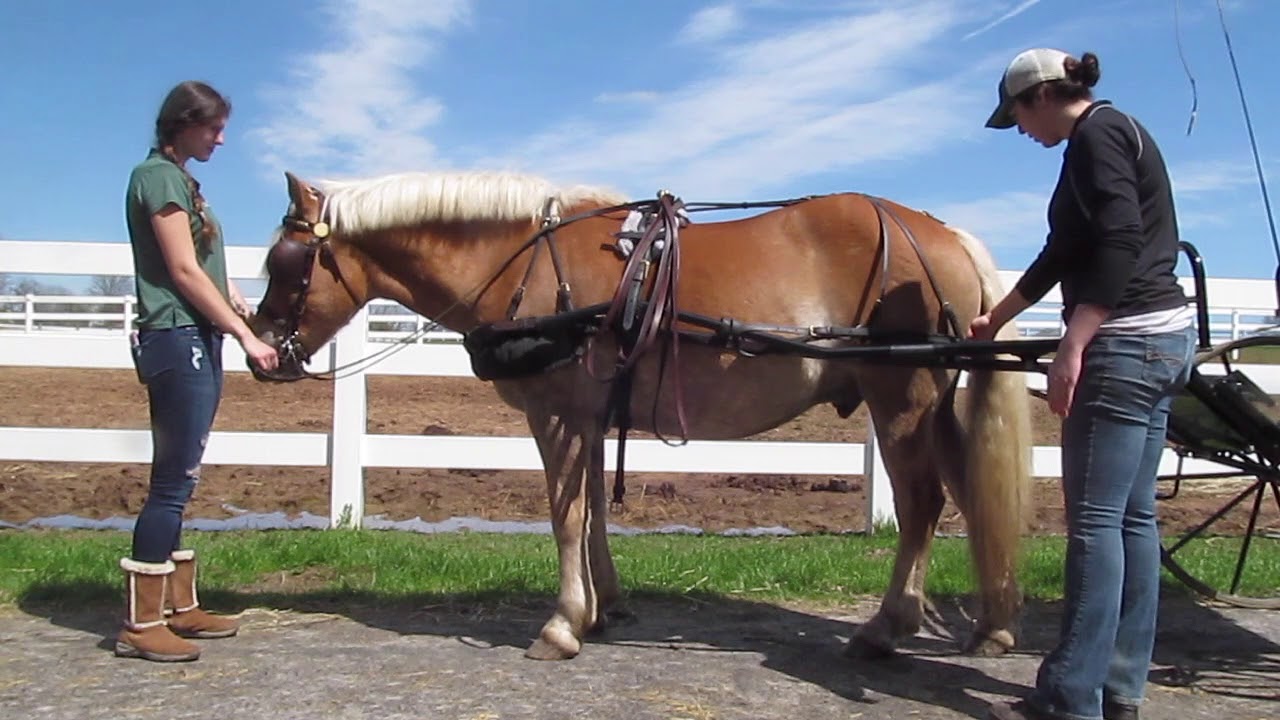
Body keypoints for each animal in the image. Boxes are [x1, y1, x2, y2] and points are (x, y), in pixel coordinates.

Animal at [248, 169, 1032, 661]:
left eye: (285, 261)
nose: (260, 351)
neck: (525, 264)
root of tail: (942, 233)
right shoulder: (592, 417)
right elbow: (594, 507)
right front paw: (603, 608)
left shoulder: (558, 414)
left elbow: (565, 515)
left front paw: (562, 625)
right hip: (934, 407)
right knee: (969, 495)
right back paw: (992, 627)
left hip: (901, 402)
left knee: (923, 503)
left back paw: (886, 627)